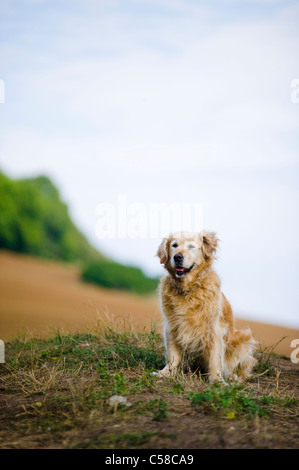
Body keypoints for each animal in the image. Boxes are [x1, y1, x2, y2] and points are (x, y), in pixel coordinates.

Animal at [155, 230, 258, 382]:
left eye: (191, 246)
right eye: (174, 245)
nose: (177, 257)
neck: (188, 289)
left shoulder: (214, 330)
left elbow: (215, 358)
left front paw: (216, 380)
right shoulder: (172, 326)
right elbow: (173, 355)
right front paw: (166, 373)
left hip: (243, 340)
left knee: (240, 367)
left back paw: (233, 377)